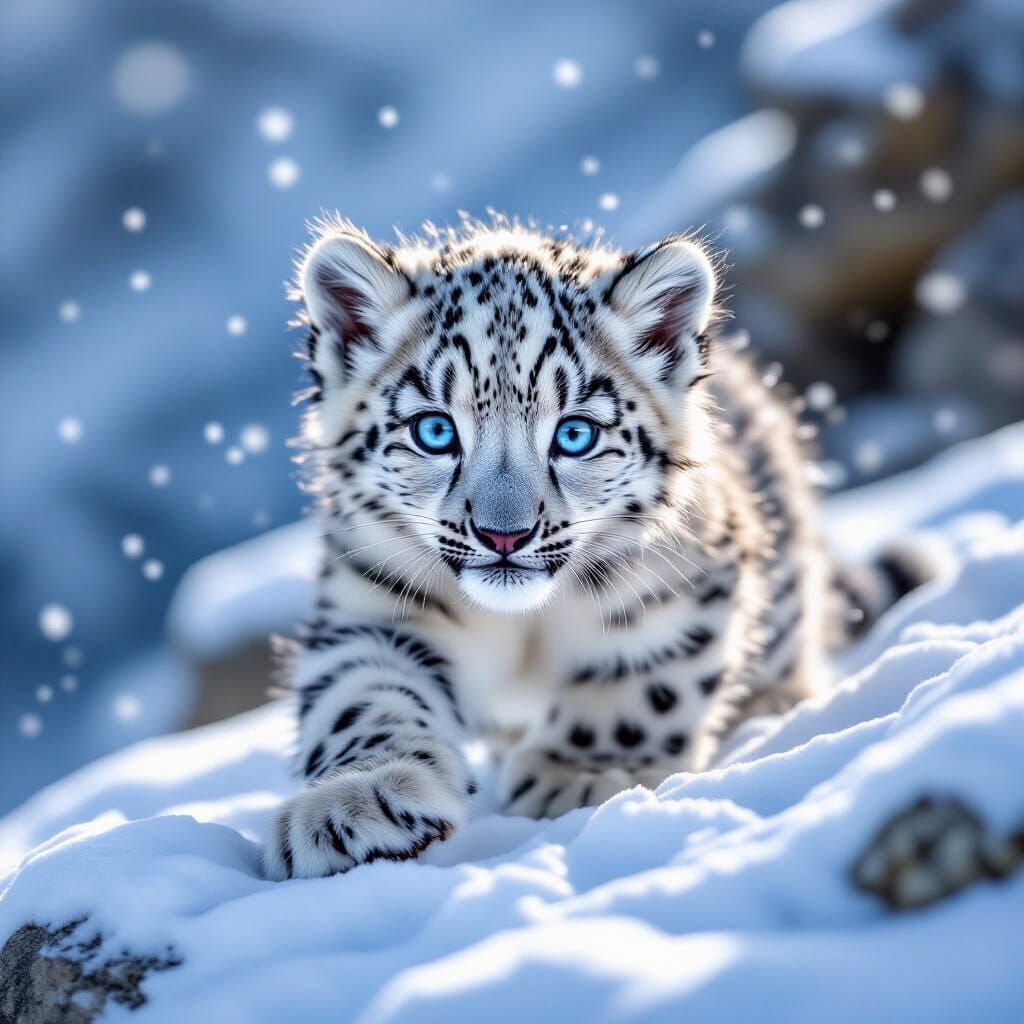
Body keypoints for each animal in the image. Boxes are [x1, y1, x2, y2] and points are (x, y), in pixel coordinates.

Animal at [263, 214, 925, 880]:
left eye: (575, 434)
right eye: (434, 430)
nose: (505, 534)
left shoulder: (680, 588)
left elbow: (644, 685)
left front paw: (582, 773)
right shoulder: (375, 605)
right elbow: (361, 698)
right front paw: (352, 805)